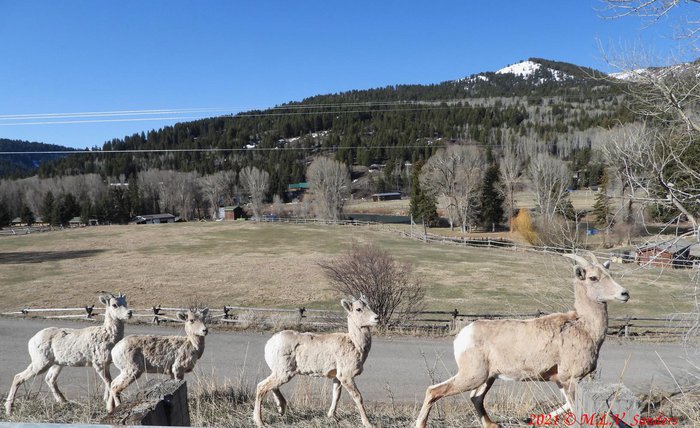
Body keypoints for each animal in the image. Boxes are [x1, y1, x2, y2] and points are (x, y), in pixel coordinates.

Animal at [254, 296, 380, 428]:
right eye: (358, 309)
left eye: (370, 306)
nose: (376, 318)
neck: (355, 344)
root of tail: (269, 344)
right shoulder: (346, 376)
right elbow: (358, 397)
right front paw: (368, 423)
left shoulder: (337, 376)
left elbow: (336, 395)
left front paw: (332, 417)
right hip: (284, 372)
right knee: (261, 387)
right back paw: (260, 422)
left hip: (279, 372)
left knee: (271, 386)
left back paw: (281, 409)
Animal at [415, 252, 630, 428]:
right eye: (593, 277)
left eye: (609, 273)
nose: (624, 293)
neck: (584, 327)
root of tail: (463, 335)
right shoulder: (570, 378)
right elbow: (573, 408)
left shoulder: (560, 381)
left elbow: (567, 406)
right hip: (472, 376)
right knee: (434, 391)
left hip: (488, 378)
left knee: (475, 398)